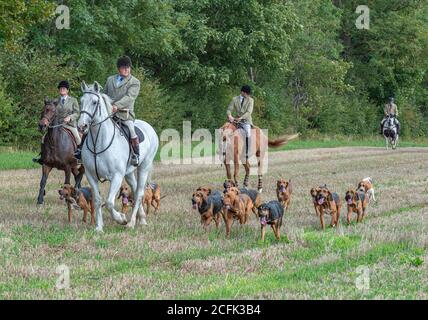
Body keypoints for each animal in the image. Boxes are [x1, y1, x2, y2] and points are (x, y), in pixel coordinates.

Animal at [77, 81, 158, 231]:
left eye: (94, 102)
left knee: (139, 193)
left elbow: (109, 202)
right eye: (81, 101)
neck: (99, 142)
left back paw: (132, 223)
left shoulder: (117, 176)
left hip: (144, 167)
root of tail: (148, 127)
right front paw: (99, 227)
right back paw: (142, 219)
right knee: (134, 189)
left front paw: (121, 219)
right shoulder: (91, 176)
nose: (81, 126)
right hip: (129, 173)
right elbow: (98, 200)